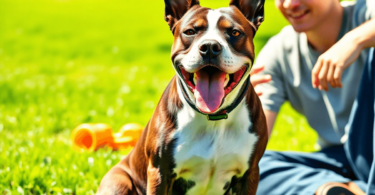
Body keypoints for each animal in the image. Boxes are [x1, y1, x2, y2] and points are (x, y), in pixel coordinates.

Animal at [97, 0, 268, 194]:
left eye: (234, 32)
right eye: (190, 31)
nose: (210, 47)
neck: (213, 119)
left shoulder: (249, 175)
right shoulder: (159, 172)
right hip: (118, 182)